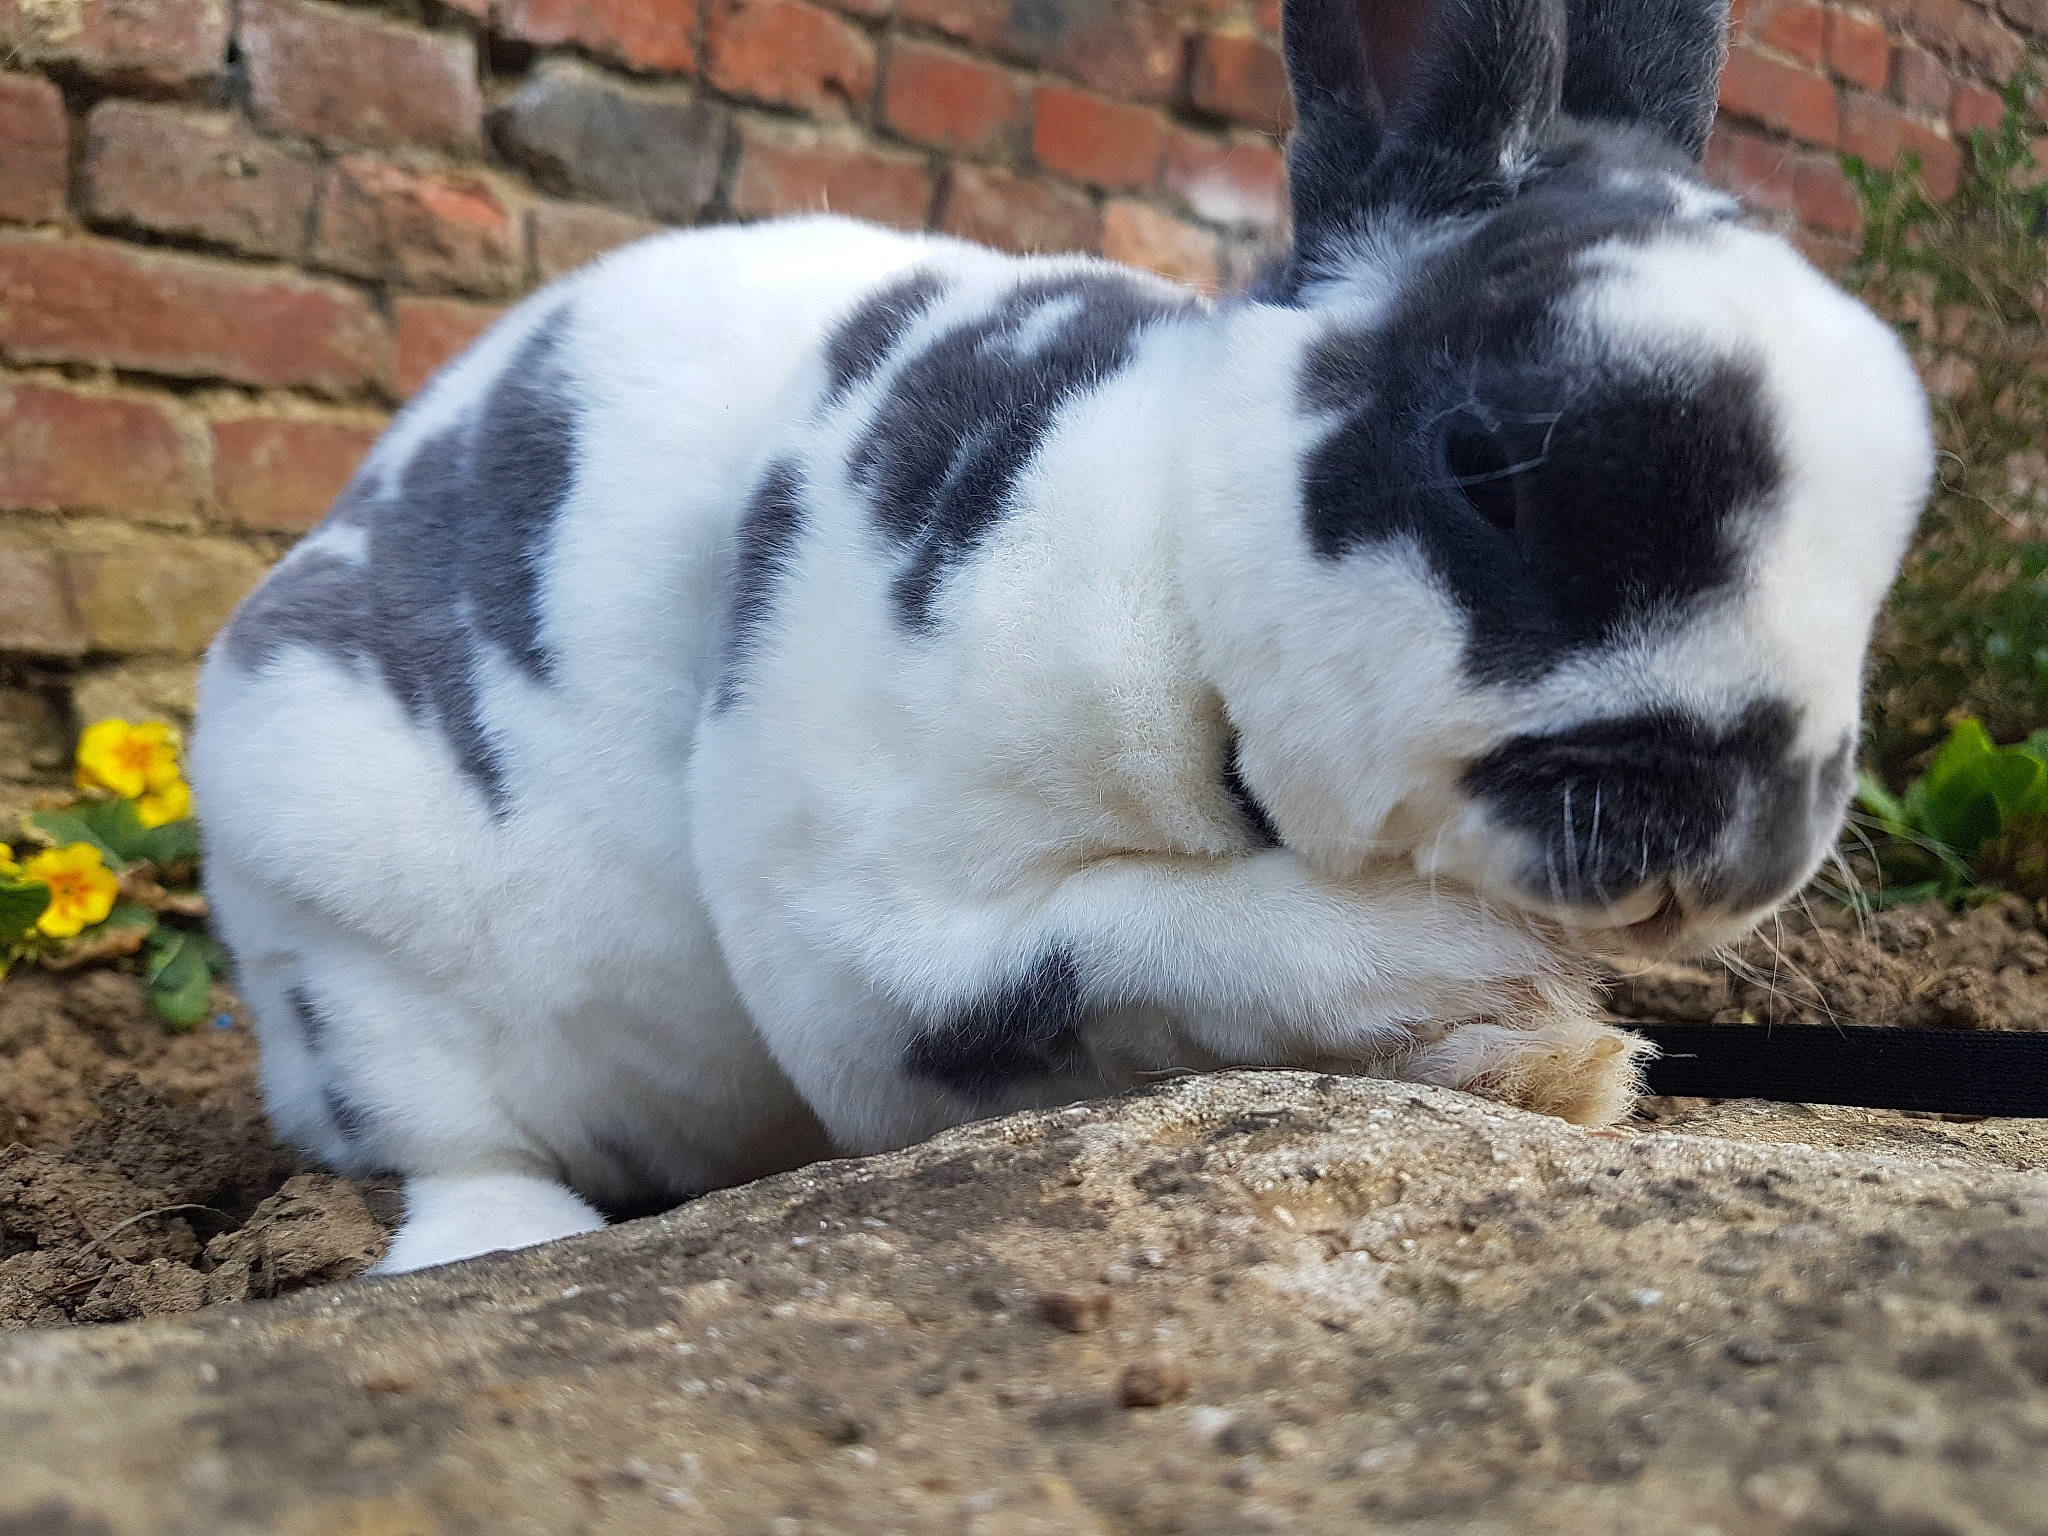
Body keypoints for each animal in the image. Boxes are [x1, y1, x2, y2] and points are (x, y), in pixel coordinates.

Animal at [188, 0, 1933, 1275]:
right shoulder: (872, 929)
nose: (1739, 835)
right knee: (442, 1131)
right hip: (335, 915)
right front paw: (1518, 1006)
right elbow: (1171, 939)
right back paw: (491, 1243)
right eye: (1484, 463)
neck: (1178, 598)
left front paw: (1548, 1064)